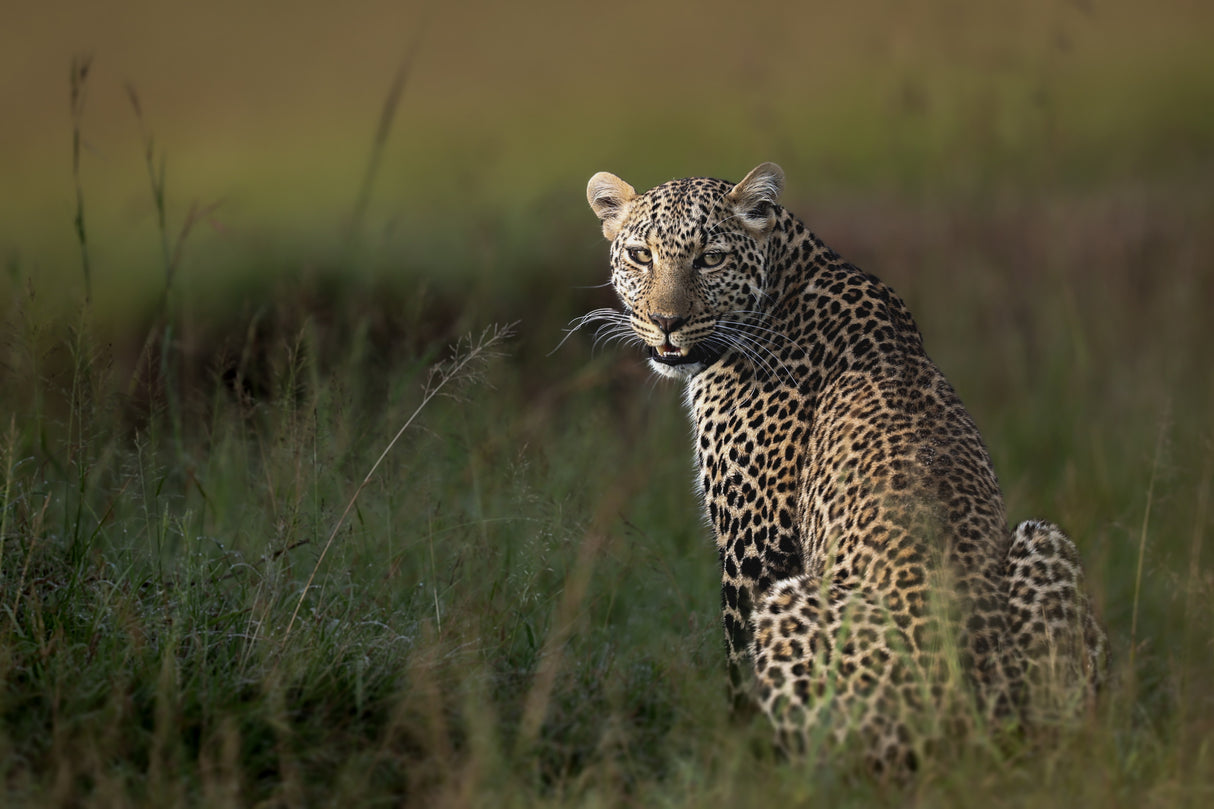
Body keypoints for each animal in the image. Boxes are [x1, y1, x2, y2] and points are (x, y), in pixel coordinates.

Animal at [581, 162, 1107, 775]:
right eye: (641, 256)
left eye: (709, 259)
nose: (666, 322)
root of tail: (970, 719)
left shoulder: (756, 547)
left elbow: (740, 671)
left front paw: (739, 761)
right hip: (1044, 542)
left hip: (791, 605)